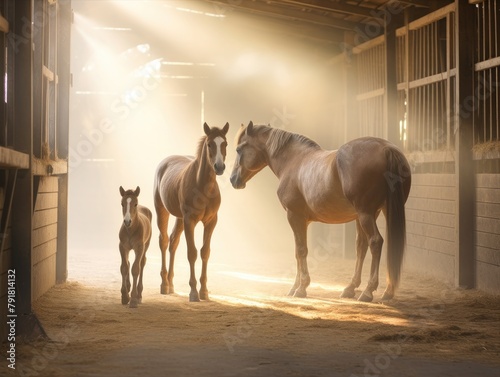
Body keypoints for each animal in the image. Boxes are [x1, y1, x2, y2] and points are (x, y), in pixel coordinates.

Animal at [153, 122, 229, 302]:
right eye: (209, 144)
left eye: (225, 143)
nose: (219, 167)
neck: (203, 187)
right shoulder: (190, 220)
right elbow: (192, 253)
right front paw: (194, 292)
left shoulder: (211, 221)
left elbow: (205, 252)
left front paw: (204, 291)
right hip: (162, 210)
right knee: (164, 241)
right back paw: (164, 285)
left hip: (180, 218)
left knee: (173, 241)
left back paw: (171, 284)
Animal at [229, 122, 410, 302]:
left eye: (239, 149)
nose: (232, 179)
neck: (294, 161)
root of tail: (387, 148)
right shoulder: (304, 221)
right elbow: (298, 251)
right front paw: (295, 287)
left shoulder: (294, 216)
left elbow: (301, 250)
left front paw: (301, 288)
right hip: (374, 213)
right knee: (364, 245)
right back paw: (366, 290)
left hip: (365, 214)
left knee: (375, 242)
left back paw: (367, 291)